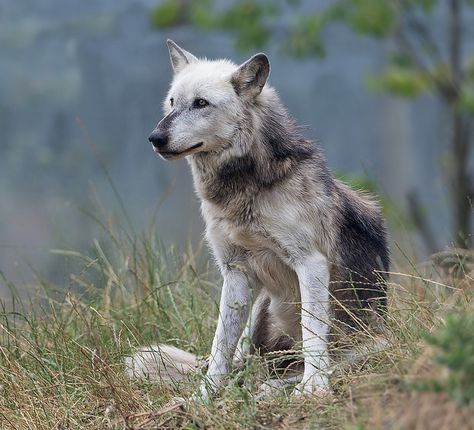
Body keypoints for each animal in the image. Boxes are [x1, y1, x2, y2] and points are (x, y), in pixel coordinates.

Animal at [126, 40, 388, 400]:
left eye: (201, 103)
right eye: (172, 103)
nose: (155, 138)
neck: (245, 192)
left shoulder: (311, 264)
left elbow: (312, 331)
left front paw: (314, 388)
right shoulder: (235, 273)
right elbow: (220, 346)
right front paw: (202, 398)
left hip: (373, 344)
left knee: (312, 364)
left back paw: (278, 386)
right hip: (260, 306)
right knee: (244, 363)